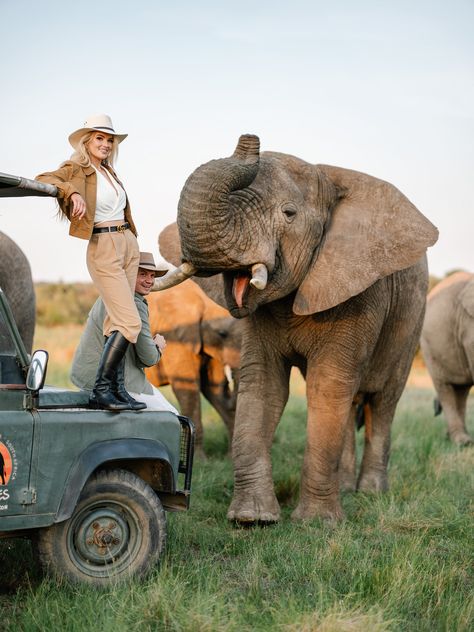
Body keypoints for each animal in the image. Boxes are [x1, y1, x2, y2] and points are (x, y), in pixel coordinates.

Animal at [157, 135, 438, 524]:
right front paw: (252, 519)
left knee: (382, 401)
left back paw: (370, 493)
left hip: (413, 321)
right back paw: (346, 488)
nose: (249, 139)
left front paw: (317, 524)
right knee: (350, 401)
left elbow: (326, 383)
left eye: (288, 214)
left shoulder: (358, 289)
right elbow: (264, 386)